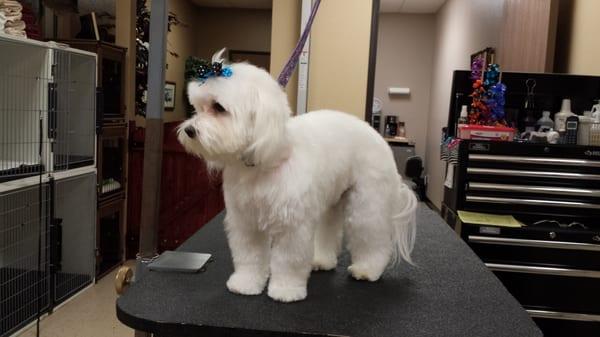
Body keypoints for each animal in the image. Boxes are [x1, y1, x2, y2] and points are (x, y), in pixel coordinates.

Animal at [179, 51, 418, 304]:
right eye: (197, 107)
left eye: (219, 107)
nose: (189, 130)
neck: (263, 162)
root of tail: (378, 138)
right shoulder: (246, 222)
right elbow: (249, 256)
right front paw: (246, 283)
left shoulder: (291, 226)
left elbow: (288, 260)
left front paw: (286, 290)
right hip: (330, 202)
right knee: (329, 230)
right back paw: (321, 260)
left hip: (367, 204)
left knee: (372, 237)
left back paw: (367, 269)